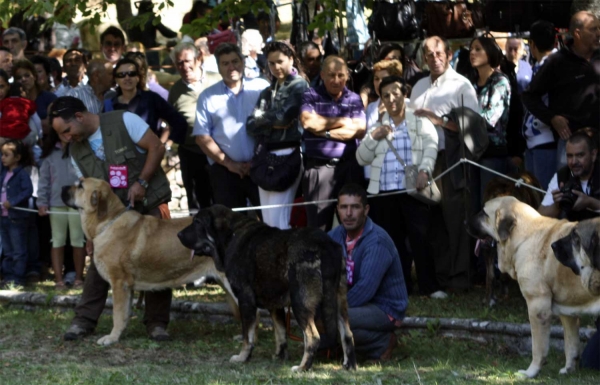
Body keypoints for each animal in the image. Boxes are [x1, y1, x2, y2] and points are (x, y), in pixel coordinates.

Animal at [62, 177, 237, 344]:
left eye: (80, 186)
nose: (62, 187)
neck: (108, 222)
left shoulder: (119, 283)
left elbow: (117, 314)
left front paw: (111, 338)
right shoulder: (127, 287)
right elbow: (124, 314)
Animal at [468, 196, 600, 376]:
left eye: (483, 212)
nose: (465, 222)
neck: (524, 237)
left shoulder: (537, 306)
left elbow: (538, 347)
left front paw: (530, 372)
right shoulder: (568, 311)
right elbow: (571, 344)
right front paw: (568, 369)